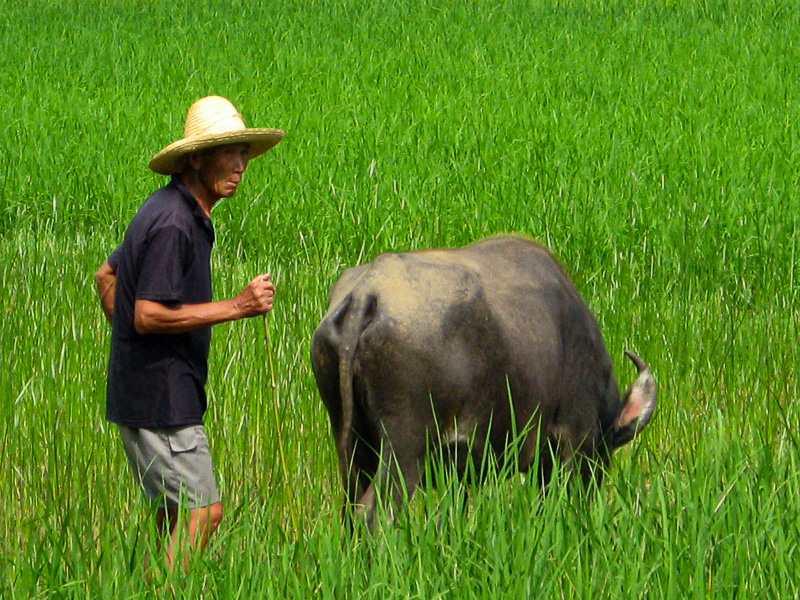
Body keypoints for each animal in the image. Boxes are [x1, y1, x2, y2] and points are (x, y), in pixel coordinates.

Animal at [310, 234, 652, 524]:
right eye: (607, 449)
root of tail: (368, 293)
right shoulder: (575, 438)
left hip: (351, 442)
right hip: (404, 445)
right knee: (375, 513)